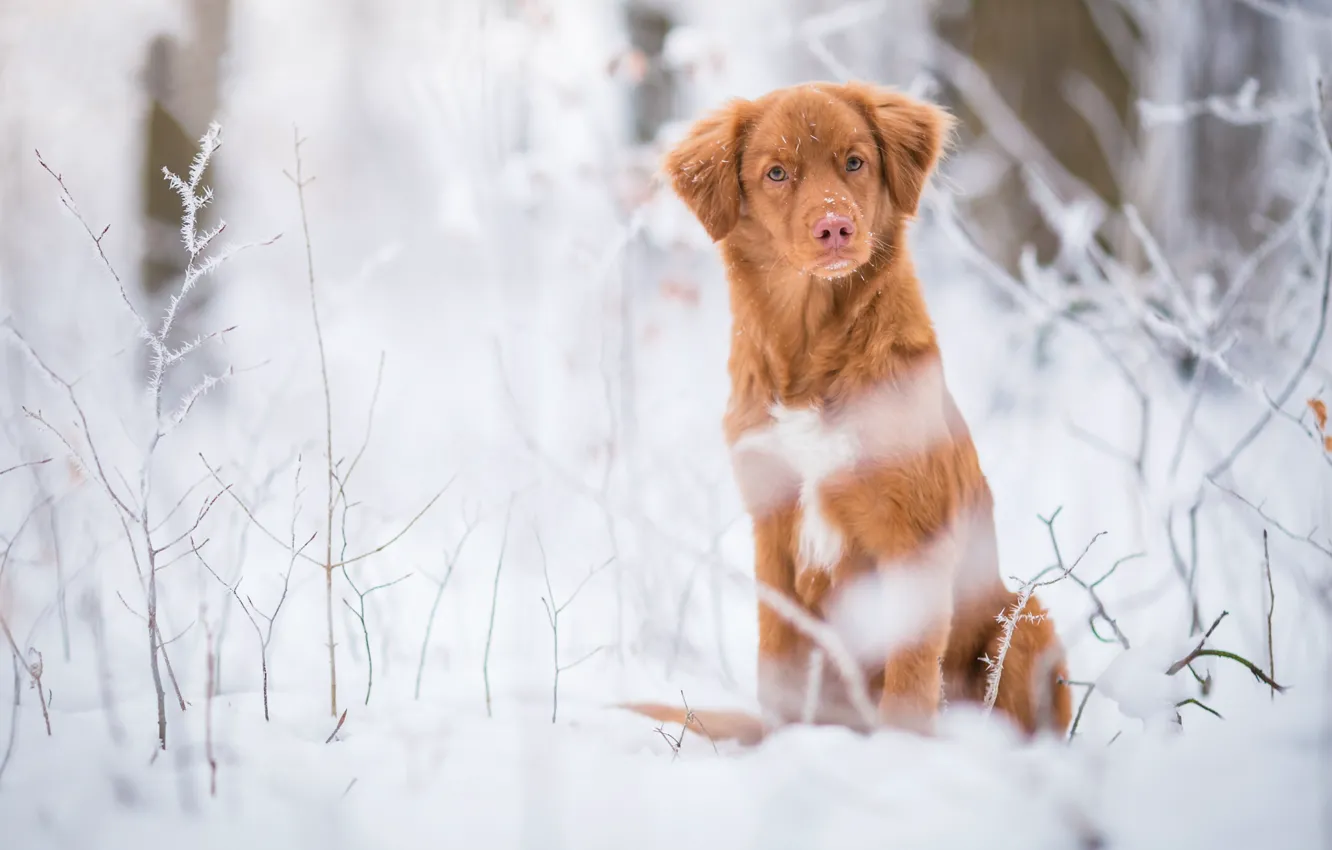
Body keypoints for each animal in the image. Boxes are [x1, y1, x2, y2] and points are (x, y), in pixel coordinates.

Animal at [623, 79, 1070, 746]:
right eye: (777, 173)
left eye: (855, 162)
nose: (835, 226)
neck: (813, 350)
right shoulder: (772, 529)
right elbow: (777, 661)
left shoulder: (915, 536)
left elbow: (909, 679)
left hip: (1025, 614)